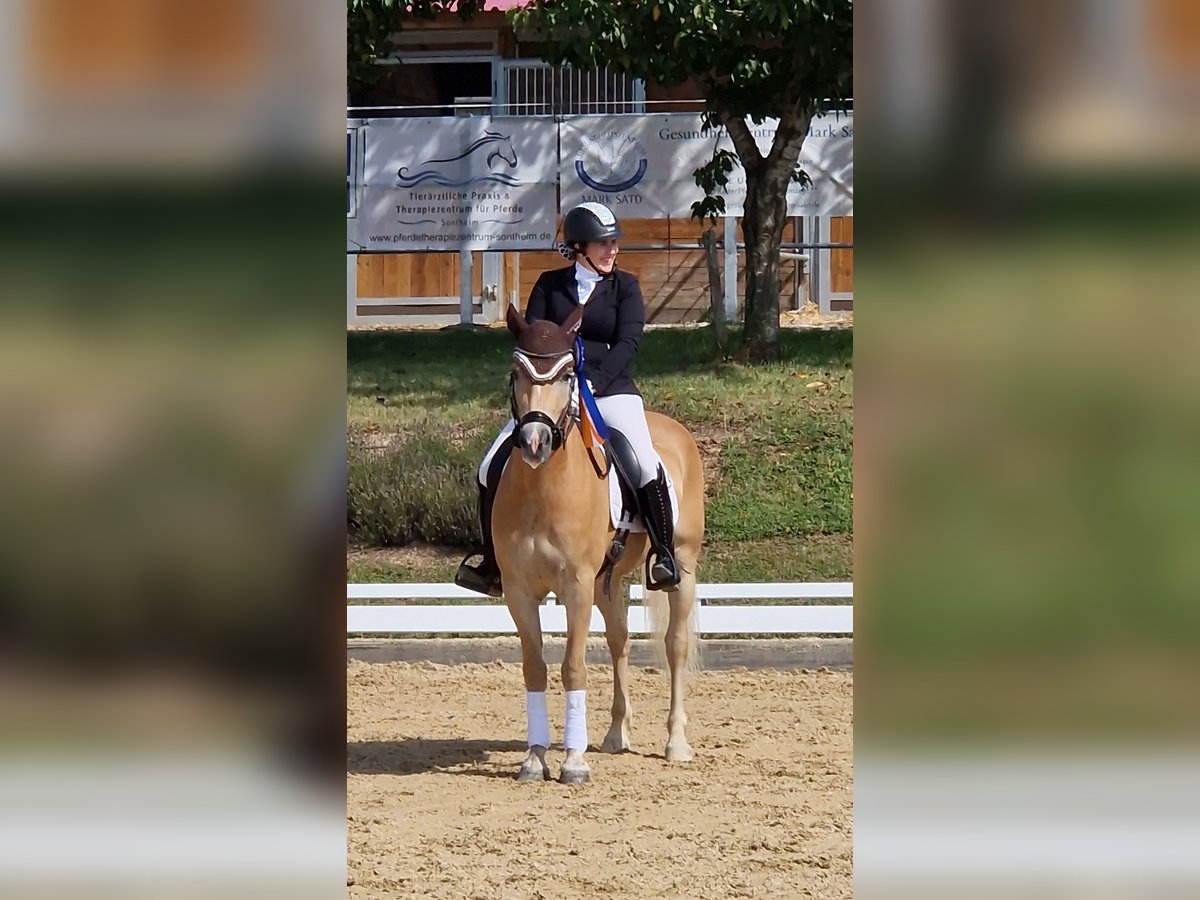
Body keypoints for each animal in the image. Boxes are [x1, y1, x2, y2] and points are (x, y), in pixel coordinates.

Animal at [494, 303, 705, 782]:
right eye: (515, 372)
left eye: (568, 374)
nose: (535, 443)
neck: (543, 490)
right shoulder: (518, 590)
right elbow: (534, 668)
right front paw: (535, 758)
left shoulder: (575, 586)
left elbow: (573, 667)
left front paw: (573, 763)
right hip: (606, 582)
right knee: (619, 641)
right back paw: (614, 735)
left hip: (681, 566)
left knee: (675, 645)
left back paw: (676, 743)